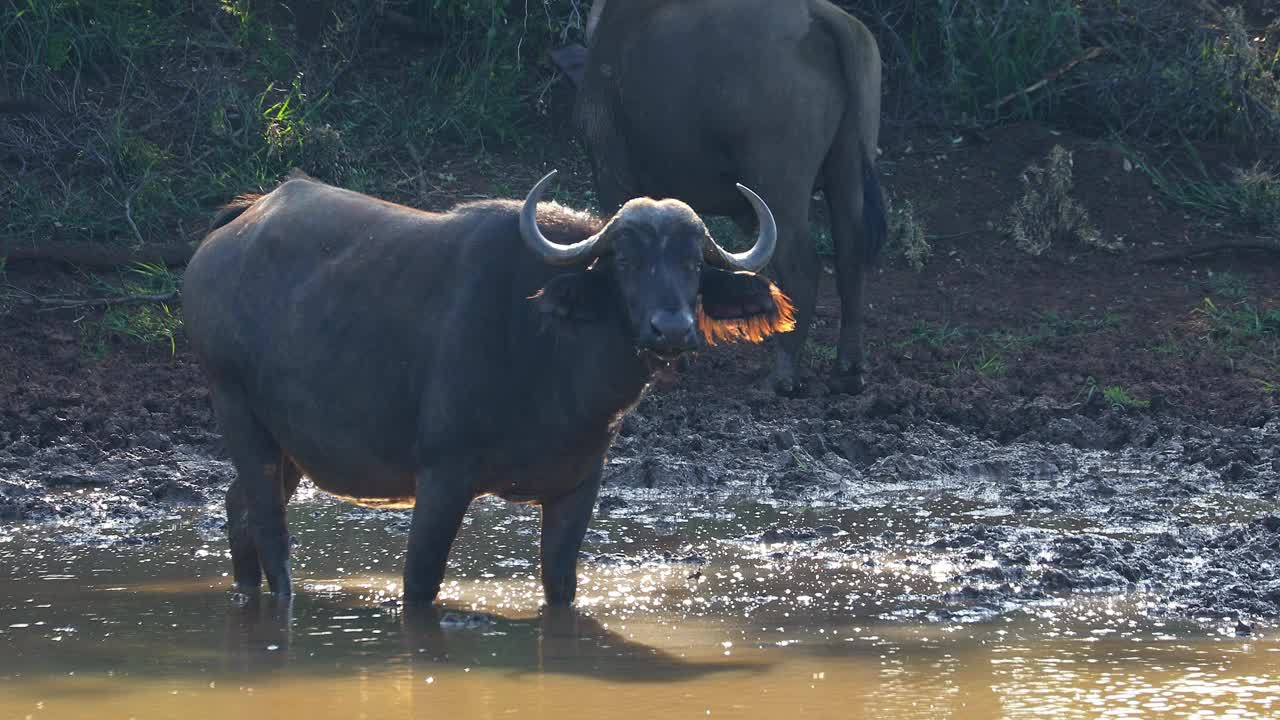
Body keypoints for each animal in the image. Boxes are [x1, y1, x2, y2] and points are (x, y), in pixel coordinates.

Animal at [185, 170, 793, 602]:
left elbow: (560, 586)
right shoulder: (442, 477)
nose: (672, 329)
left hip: (288, 444)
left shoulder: (577, 488)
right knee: (271, 531)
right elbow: (419, 586)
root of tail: (229, 233)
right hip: (235, 405)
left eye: (693, 263)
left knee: (238, 508)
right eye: (625, 259)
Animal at [550, 0, 890, 392]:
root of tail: (820, 15)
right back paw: (847, 370)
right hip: (848, 174)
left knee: (801, 265)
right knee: (851, 256)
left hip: (779, 191)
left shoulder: (612, 178)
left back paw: (783, 376)